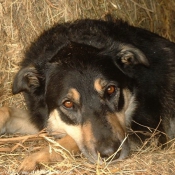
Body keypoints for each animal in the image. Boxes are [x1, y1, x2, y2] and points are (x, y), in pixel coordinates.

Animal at [0, 17, 175, 171]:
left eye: (110, 90)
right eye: (68, 103)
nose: (111, 153)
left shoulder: (150, 134)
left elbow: (70, 140)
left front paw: (36, 158)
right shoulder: (43, 119)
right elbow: (6, 110)